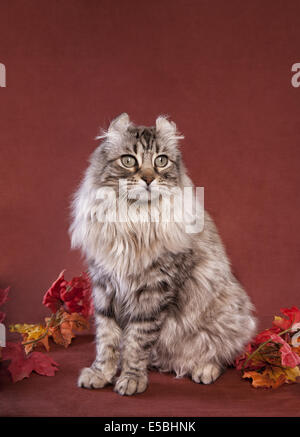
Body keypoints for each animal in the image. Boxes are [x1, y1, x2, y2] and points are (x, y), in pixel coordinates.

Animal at [69, 112, 256, 396]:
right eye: (129, 160)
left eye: (161, 160)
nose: (148, 179)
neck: (134, 221)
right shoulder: (104, 287)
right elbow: (107, 340)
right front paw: (102, 374)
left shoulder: (153, 291)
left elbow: (137, 342)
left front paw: (132, 379)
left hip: (228, 318)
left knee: (221, 355)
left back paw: (204, 370)